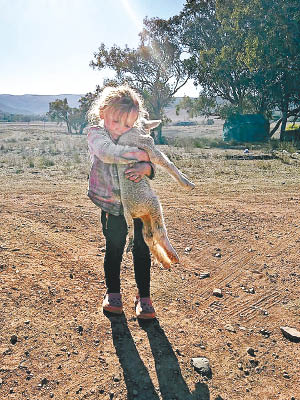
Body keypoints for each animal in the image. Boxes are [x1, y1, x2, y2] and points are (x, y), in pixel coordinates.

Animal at [117, 119, 195, 268]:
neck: (135, 128)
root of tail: (128, 210)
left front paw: (185, 178)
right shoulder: (149, 146)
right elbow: (167, 163)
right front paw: (186, 183)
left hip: (145, 215)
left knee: (148, 236)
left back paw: (165, 261)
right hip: (152, 205)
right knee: (159, 232)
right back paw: (173, 257)